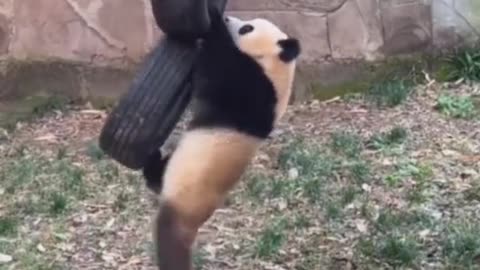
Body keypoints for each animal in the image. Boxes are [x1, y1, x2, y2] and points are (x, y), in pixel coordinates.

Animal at [142, 8, 302, 270]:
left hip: (183, 203)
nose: (229, 19)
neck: (277, 68)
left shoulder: (253, 87)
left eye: (247, 28)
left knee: (168, 239)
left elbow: (217, 68)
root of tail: (195, 225)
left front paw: (215, 20)